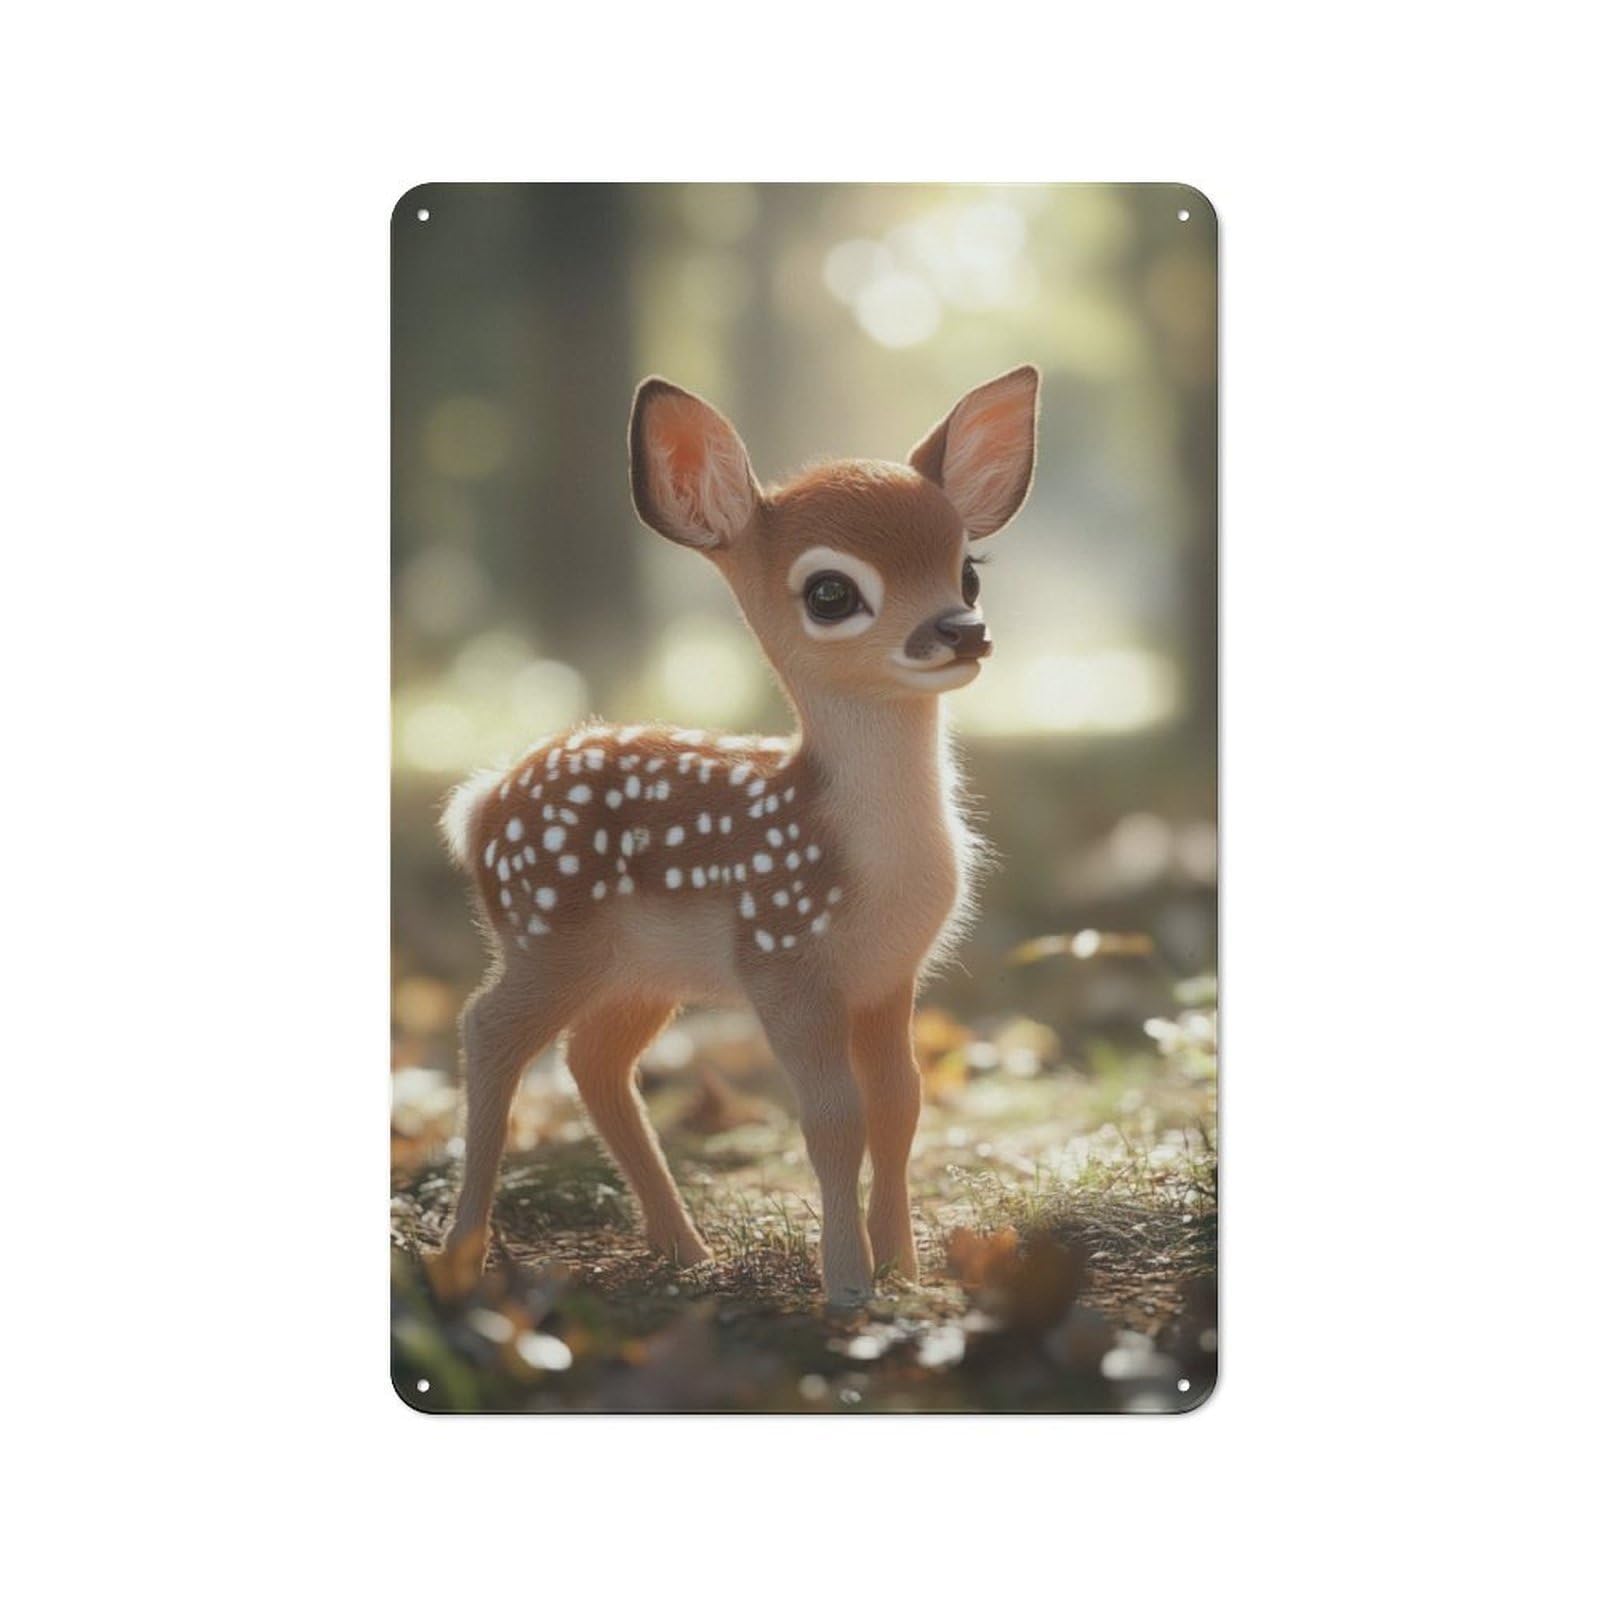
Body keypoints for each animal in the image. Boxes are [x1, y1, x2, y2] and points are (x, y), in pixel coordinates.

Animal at [435, 364, 1040, 1305]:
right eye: (831, 593)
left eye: (968, 573)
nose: (962, 631)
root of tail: (481, 803)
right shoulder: (783, 957)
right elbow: (833, 1118)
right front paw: (848, 1288)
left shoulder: (888, 975)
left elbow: (900, 1106)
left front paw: (904, 1271)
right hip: (550, 935)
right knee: (485, 1030)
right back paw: (462, 1254)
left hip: (639, 972)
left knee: (594, 1062)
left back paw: (688, 1251)